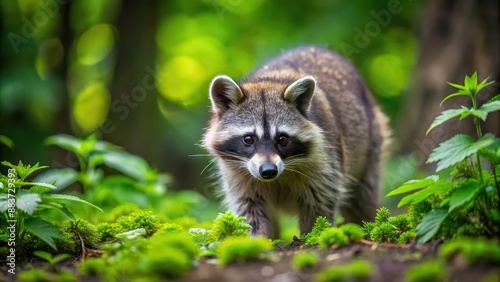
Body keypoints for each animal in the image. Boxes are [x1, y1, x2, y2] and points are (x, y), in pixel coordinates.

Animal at [203, 46, 390, 238]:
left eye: (282, 139)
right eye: (248, 139)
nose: (268, 171)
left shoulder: (324, 161)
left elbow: (319, 206)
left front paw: (312, 235)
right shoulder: (237, 176)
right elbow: (249, 210)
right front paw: (257, 239)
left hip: (372, 141)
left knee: (363, 196)